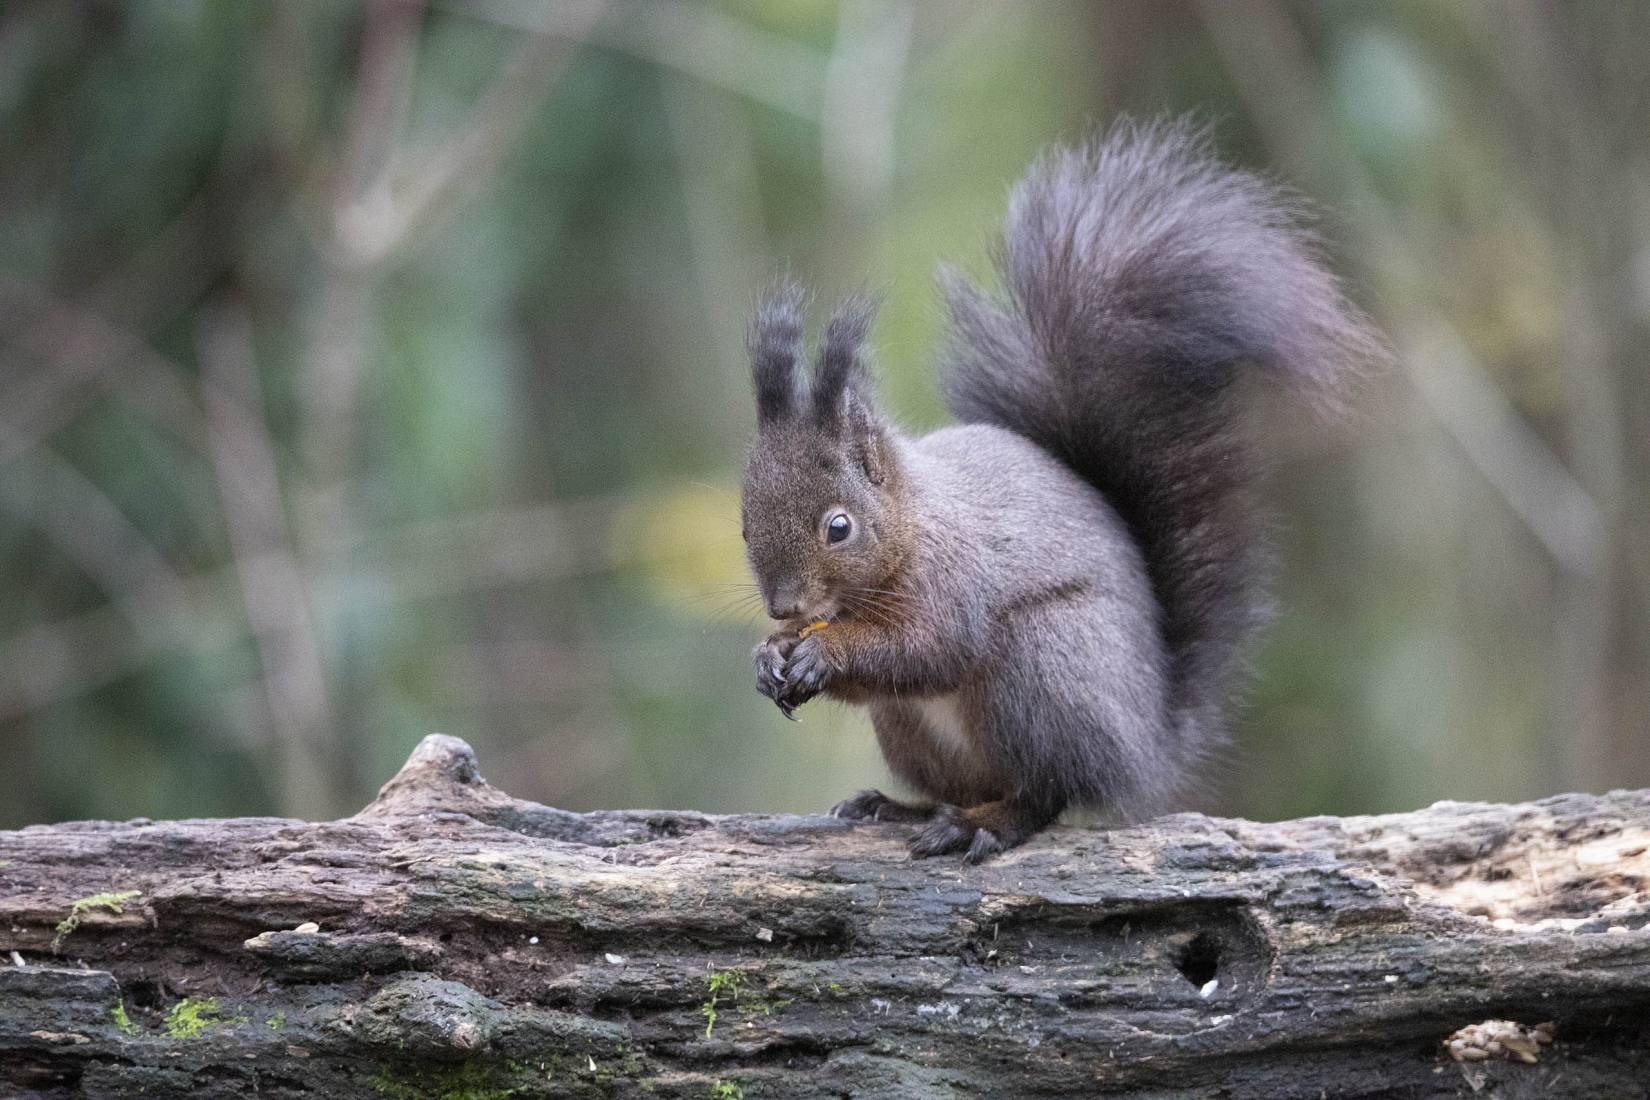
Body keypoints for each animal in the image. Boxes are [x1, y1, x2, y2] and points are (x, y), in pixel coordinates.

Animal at [739, 119, 1385, 862]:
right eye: (745, 527)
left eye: (839, 527)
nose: (786, 605)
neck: (911, 522)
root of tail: (1145, 747)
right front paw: (771, 655)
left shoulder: (954, 581)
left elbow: (928, 647)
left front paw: (822, 652)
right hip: (909, 729)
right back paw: (899, 807)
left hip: (1043, 669)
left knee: (1045, 793)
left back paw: (982, 824)